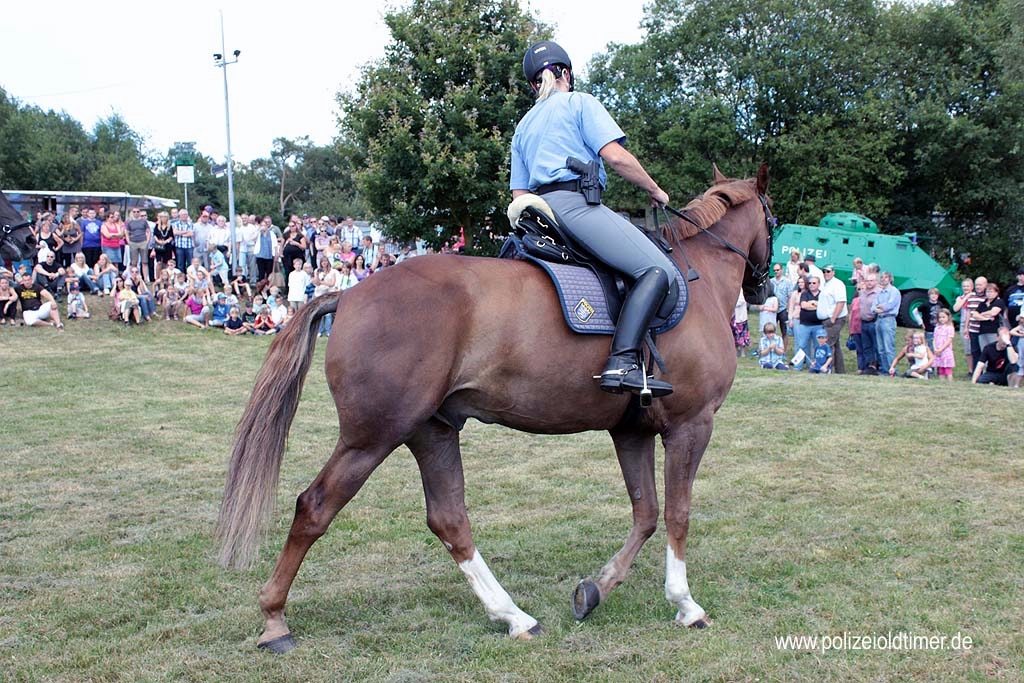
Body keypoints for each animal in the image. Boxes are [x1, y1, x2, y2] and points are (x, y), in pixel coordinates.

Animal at [220, 163, 770, 651]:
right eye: (771, 216)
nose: (761, 288)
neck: (695, 279)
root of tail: (350, 294)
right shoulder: (691, 425)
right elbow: (677, 513)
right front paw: (685, 604)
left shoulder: (631, 430)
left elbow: (647, 513)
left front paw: (596, 589)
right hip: (372, 437)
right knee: (315, 507)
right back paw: (274, 619)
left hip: (431, 430)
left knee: (449, 520)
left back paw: (513, 616)